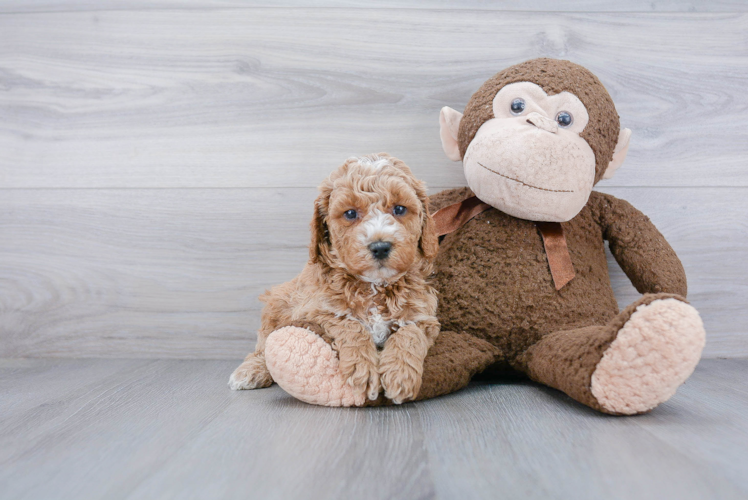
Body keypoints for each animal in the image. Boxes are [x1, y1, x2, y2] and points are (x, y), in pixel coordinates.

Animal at [228, 154, 438, 404]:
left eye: (399, 209)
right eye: (350, 213)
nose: (380, 247)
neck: (374, 286)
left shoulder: (424, 316)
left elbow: (410, 333)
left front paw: (401, 375)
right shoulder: (315, 310)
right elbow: (348, 323)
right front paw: (362, 370)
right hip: (277, 303)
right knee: (262, 344)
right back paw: (250, 371)